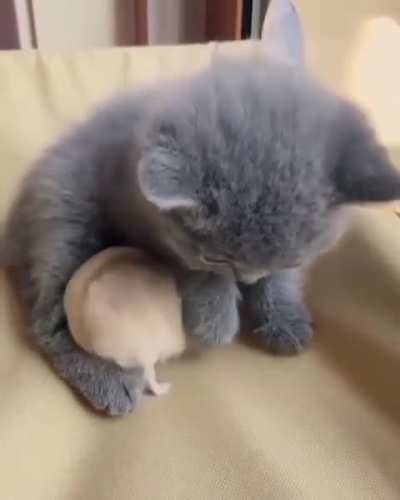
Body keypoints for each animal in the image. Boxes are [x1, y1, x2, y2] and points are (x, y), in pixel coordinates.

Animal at [3, 57, 400, 414]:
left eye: (293, 258)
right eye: (218, 256)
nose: (248, 279)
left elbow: (281, 279)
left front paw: (285, 315)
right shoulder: (146, 227)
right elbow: (194, 271)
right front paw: (217, 319)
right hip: (64, 220)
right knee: (47, 321)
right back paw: (109, 381)